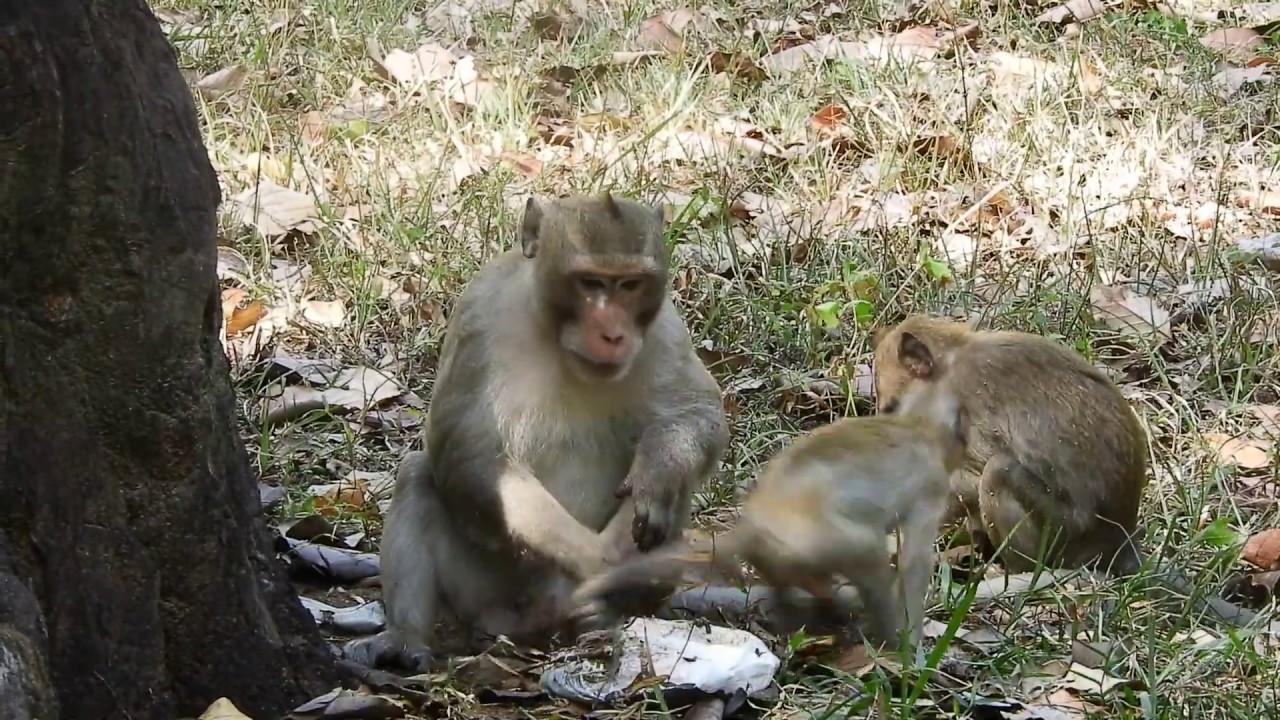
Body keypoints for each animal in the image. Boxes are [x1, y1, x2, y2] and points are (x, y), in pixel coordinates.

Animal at [342, 192, 730, 671]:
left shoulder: (665, 329)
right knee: (418, 473)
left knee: (683, 482)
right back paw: (408, 638)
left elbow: (698, 414)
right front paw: (594, 560)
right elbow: (469, 449)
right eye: (590, 283)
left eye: (630, 285)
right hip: (481, 589)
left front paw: (656, 475)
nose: (613, 333)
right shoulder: (480, 312)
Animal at [572, 345, 970, 652]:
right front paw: (912, 643)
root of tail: (752, 528)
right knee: (866, 552)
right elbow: (914, 562)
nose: (967, 447)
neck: (920, 425)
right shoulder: (933, 485)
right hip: (820, 540)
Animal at [872, 314, 1280, 634]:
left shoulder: (960, 402)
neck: (952, 362)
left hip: (1064, 535)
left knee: (998, 471)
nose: (881, 422)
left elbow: (970, 474)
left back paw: (1014, 574)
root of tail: (1119, 539)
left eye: (891, 406)